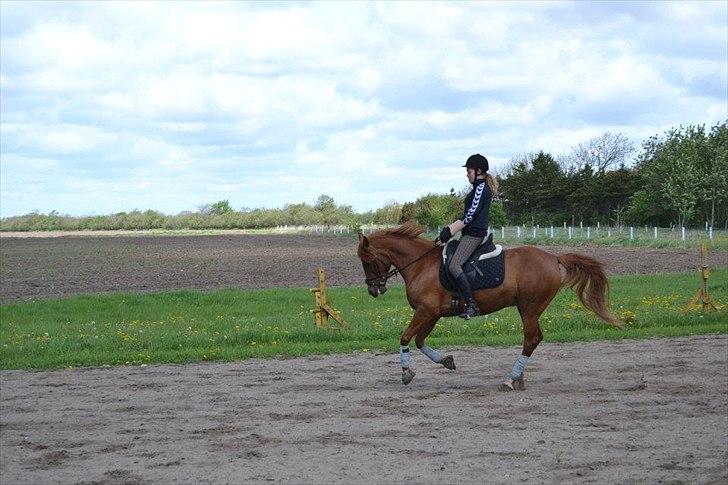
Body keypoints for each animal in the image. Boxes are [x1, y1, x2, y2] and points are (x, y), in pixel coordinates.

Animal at [358, 221, 620, 388]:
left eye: (368, 261)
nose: (373, 289)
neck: (421, 265)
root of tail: (554, 257)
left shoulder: (426, 311)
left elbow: (405, 337)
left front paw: (405, 372)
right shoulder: (432, 314)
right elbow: (420, 340)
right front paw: (446, 361)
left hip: (529, 308)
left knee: (531, 339)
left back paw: (511, 379)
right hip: (529, 309)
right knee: (534, 338)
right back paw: (518, 378)